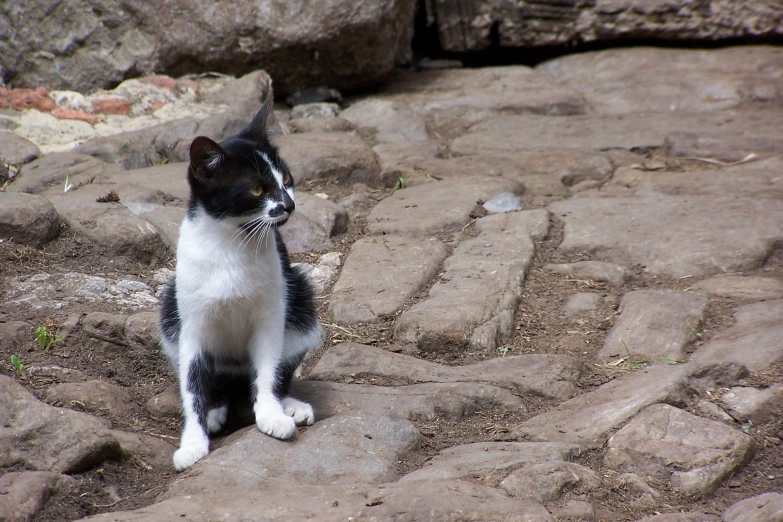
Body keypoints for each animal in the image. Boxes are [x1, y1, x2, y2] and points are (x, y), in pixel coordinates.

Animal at [158, 96, 322, 468]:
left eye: (286, 178)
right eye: (257, 189)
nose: (288, 204)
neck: (232, 243)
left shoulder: (272, 311)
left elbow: (269, 368)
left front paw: (272, 414)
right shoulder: (192, 324)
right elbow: (192, 384)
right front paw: (192, 442)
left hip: (300, 295)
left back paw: (290, 405)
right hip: (170, 305)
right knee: (211, 378)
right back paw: (216, 408)